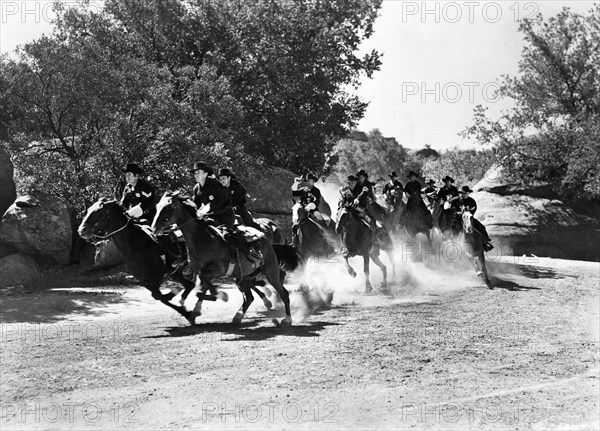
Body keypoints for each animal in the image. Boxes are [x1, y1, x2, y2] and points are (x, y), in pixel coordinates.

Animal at [151, 193, 298, 328]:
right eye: (157, 207)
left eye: (168, 207)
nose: (154, 228)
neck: (203, 240)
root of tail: (269, 243)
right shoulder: (200, 273)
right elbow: (201, 290)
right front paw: (194, 311)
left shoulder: (215, 271)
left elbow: (207, 292)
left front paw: (221, 296)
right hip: (243, 277)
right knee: (249, 297)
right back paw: (239, 316)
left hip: (270, 272)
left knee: (283, 292)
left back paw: (286, 319)